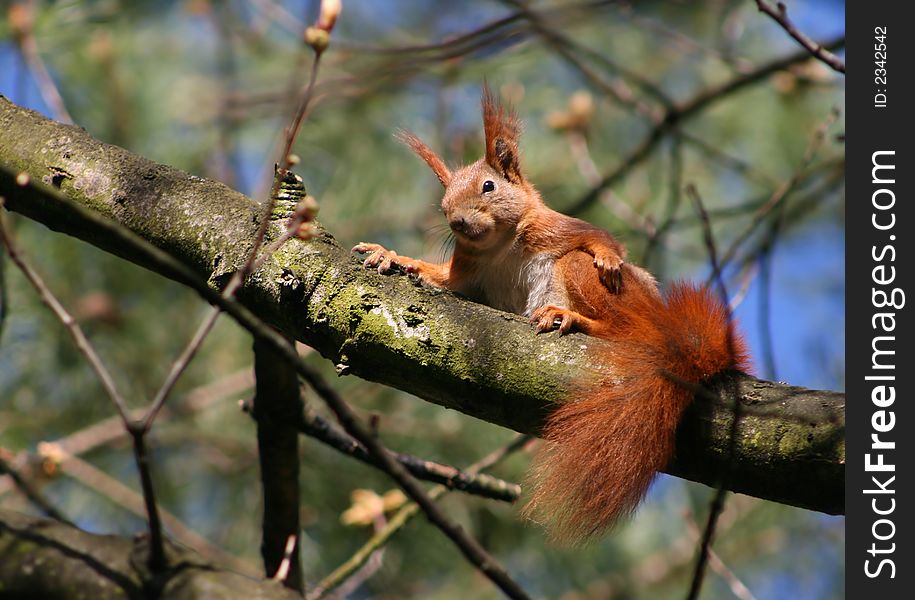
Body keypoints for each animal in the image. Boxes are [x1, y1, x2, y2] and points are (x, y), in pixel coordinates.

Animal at [354, 85, 748, 544]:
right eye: (444, 200)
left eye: (488, 186)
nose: (457, 222)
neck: (500, 246)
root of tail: (662, 320)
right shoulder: (466, 274)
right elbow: (439, 279)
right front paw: (391, 257)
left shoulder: (559, 229)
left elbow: (601, 238)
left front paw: (608, 257)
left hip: (586, 278)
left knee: (615, 320)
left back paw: (572, 318)